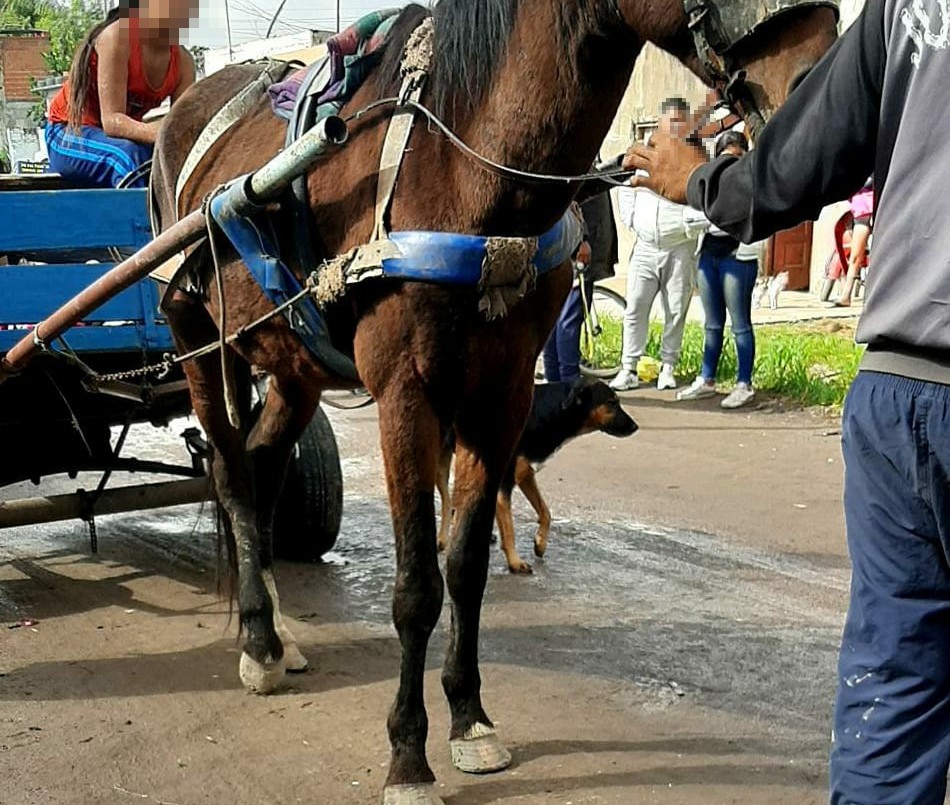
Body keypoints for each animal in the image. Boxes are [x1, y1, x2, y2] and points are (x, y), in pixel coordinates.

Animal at [151, 1, 838, 801]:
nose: (816, 80)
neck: (465, 165)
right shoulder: (407, 396)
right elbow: (417, 584)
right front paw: (407, 754)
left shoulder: (501, 394)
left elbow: (467, 567)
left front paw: (469, 719)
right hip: (198, 334)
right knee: (231, 473)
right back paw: (260, 639)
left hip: (294, 362)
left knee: (262, 466)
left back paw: (277, 632)